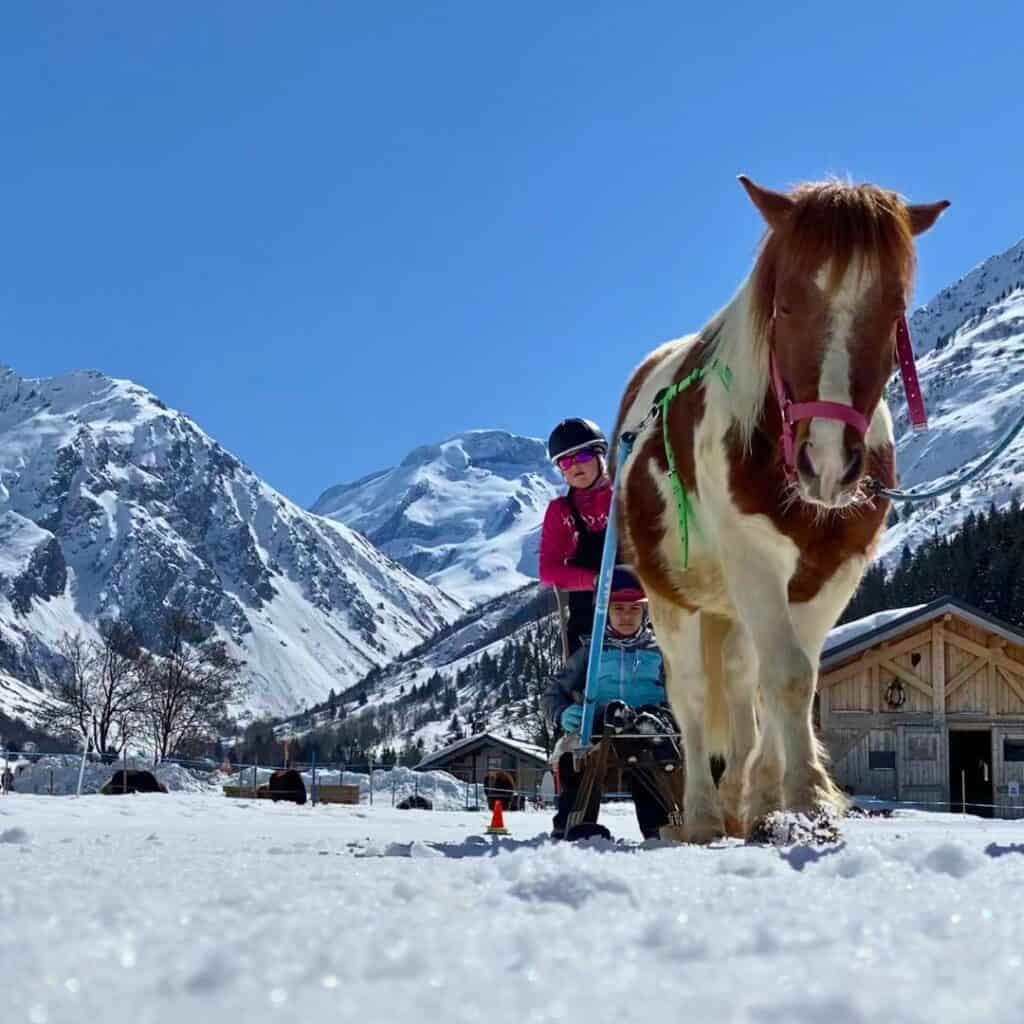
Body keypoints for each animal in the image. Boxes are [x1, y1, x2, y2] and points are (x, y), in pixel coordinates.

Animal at [614, 176, 949, 843]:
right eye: (787, 304)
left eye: (893, 307)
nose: (828, 461)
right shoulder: (754, 560)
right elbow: (787, 676)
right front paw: (807, 795)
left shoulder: (835, 569)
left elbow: (791, 678)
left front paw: (777, 795)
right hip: (673, 597)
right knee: (692, 698)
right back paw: (703, 813)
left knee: (742, 677)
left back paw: (738, 797)